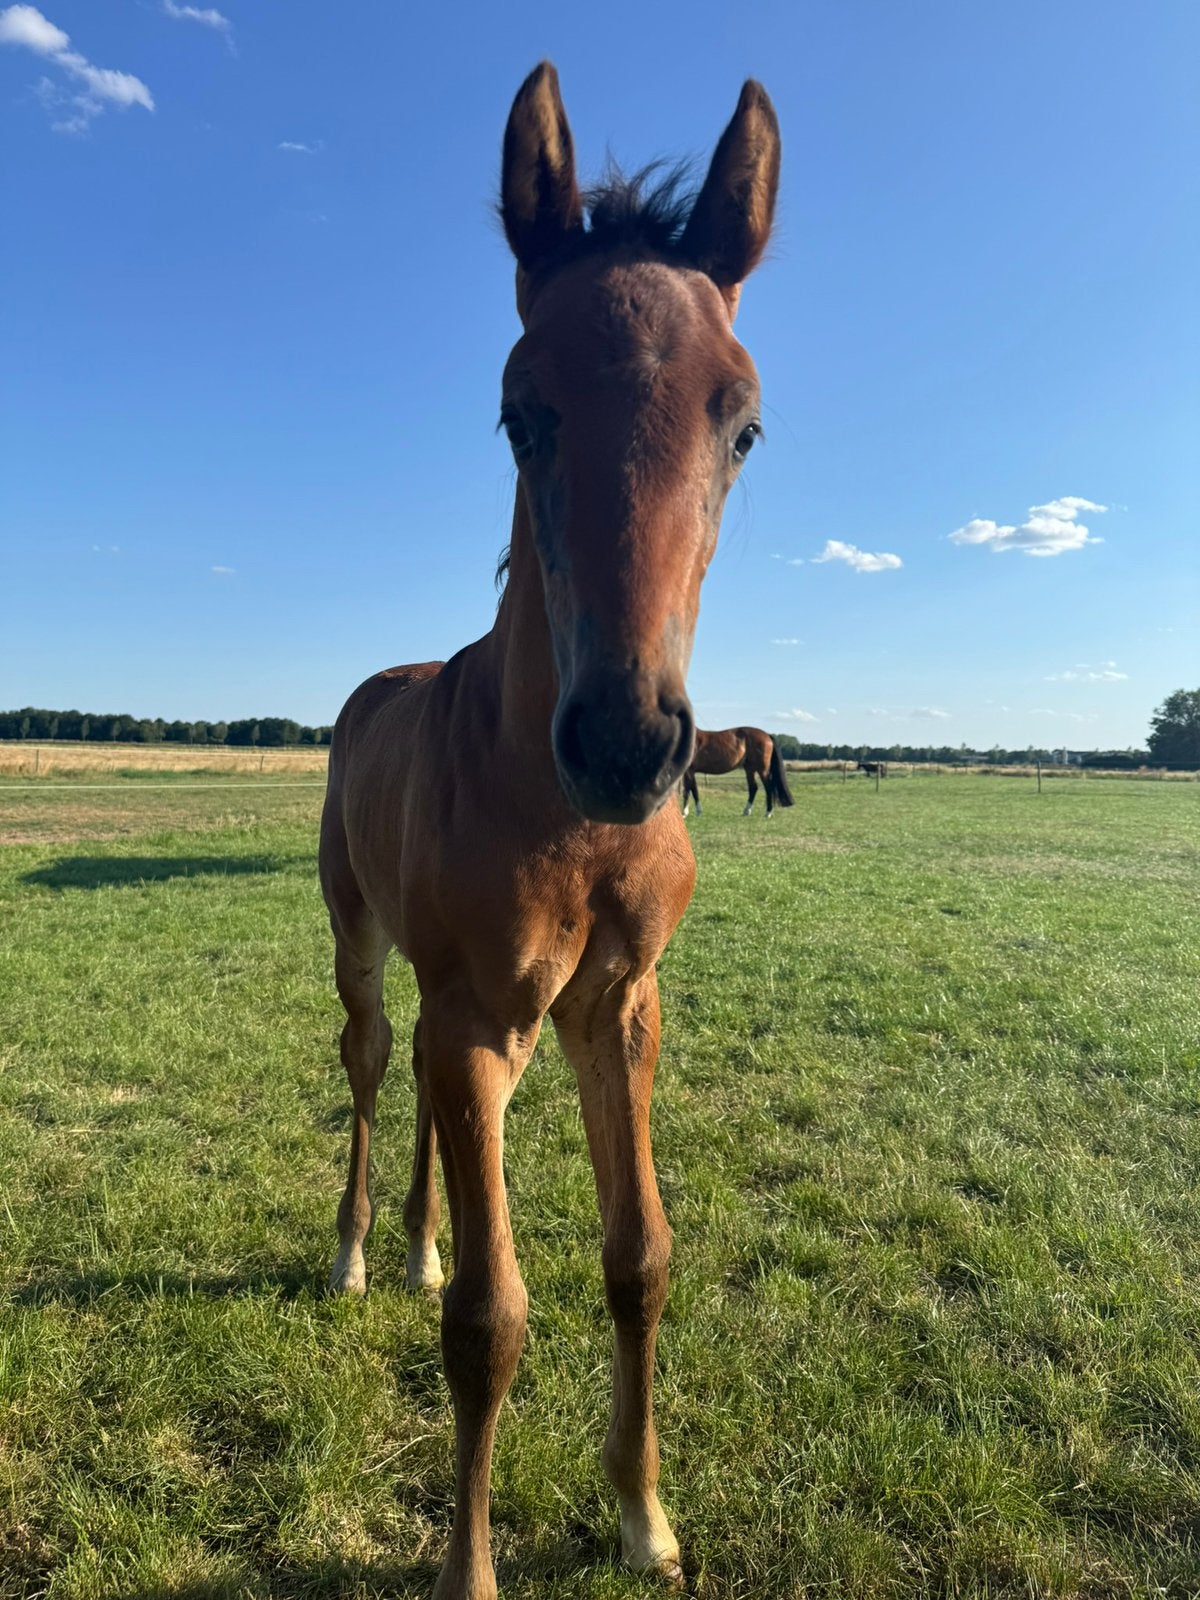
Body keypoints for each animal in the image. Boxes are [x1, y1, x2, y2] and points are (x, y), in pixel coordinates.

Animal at [318, 63, 780, 1600]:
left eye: (742, 424)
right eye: (522, 412)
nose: (631, 745)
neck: (567, 824)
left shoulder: (613, 1006)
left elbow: (639, 1256)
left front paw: (642, 1515)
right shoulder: (479, 1009)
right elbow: (490, 1322)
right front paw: (468, 1570)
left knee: (420, 1097)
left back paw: (415, 1238)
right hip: (361, 945)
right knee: (369, 1066)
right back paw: (359, 1249)